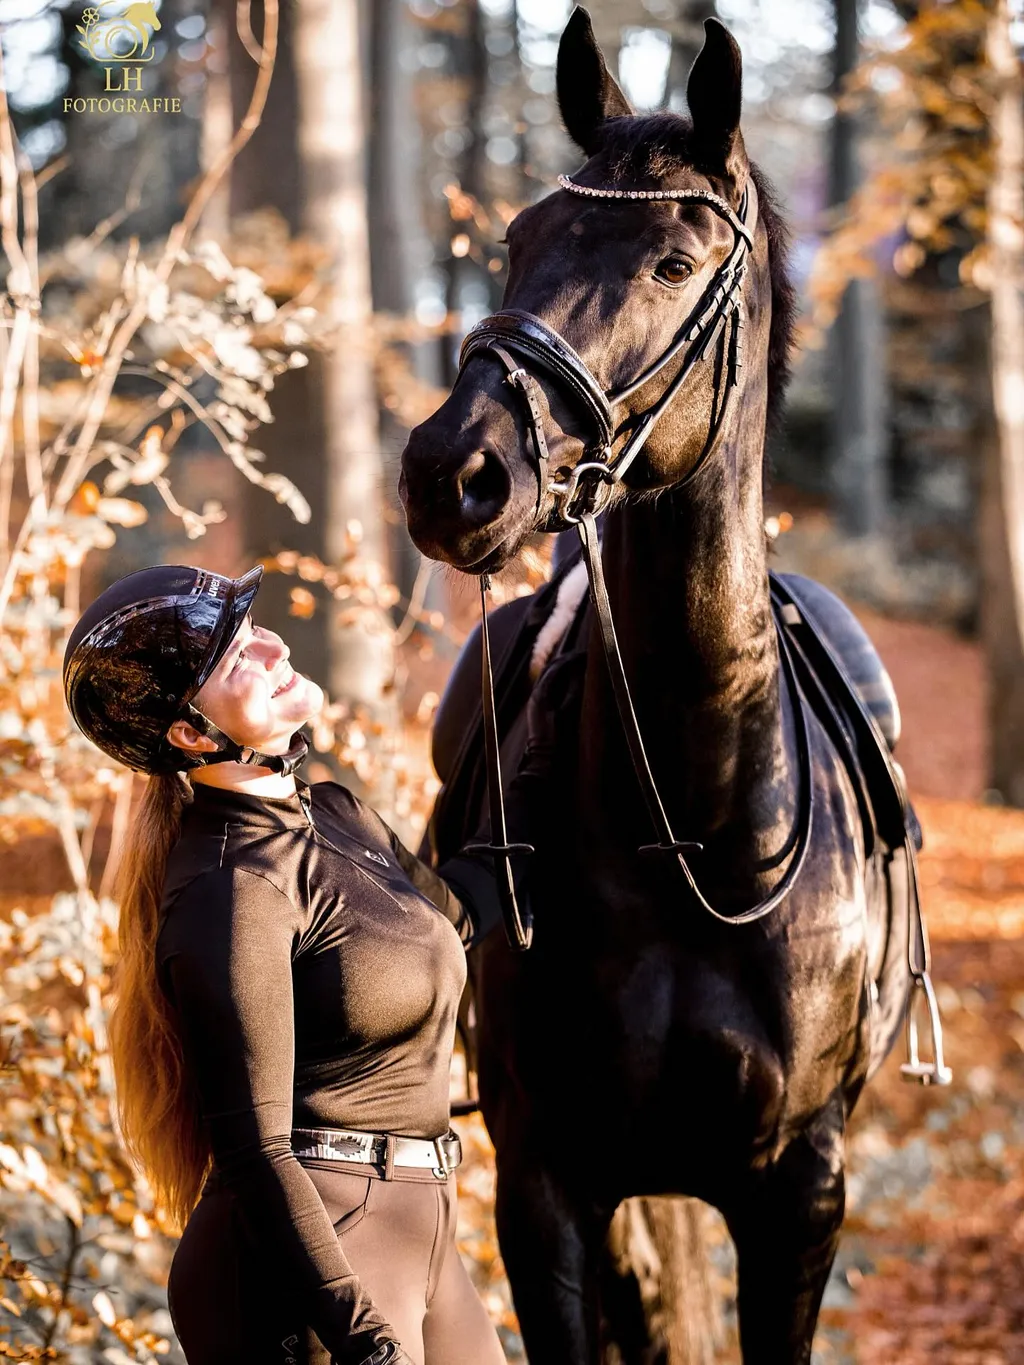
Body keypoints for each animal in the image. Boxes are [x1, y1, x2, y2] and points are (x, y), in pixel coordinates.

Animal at [400, 11, 934, 1362]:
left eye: (675, 262)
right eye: (520, 240)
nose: (452, 472)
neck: (689, 830)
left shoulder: (799, 1193)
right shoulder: (546, 1184)